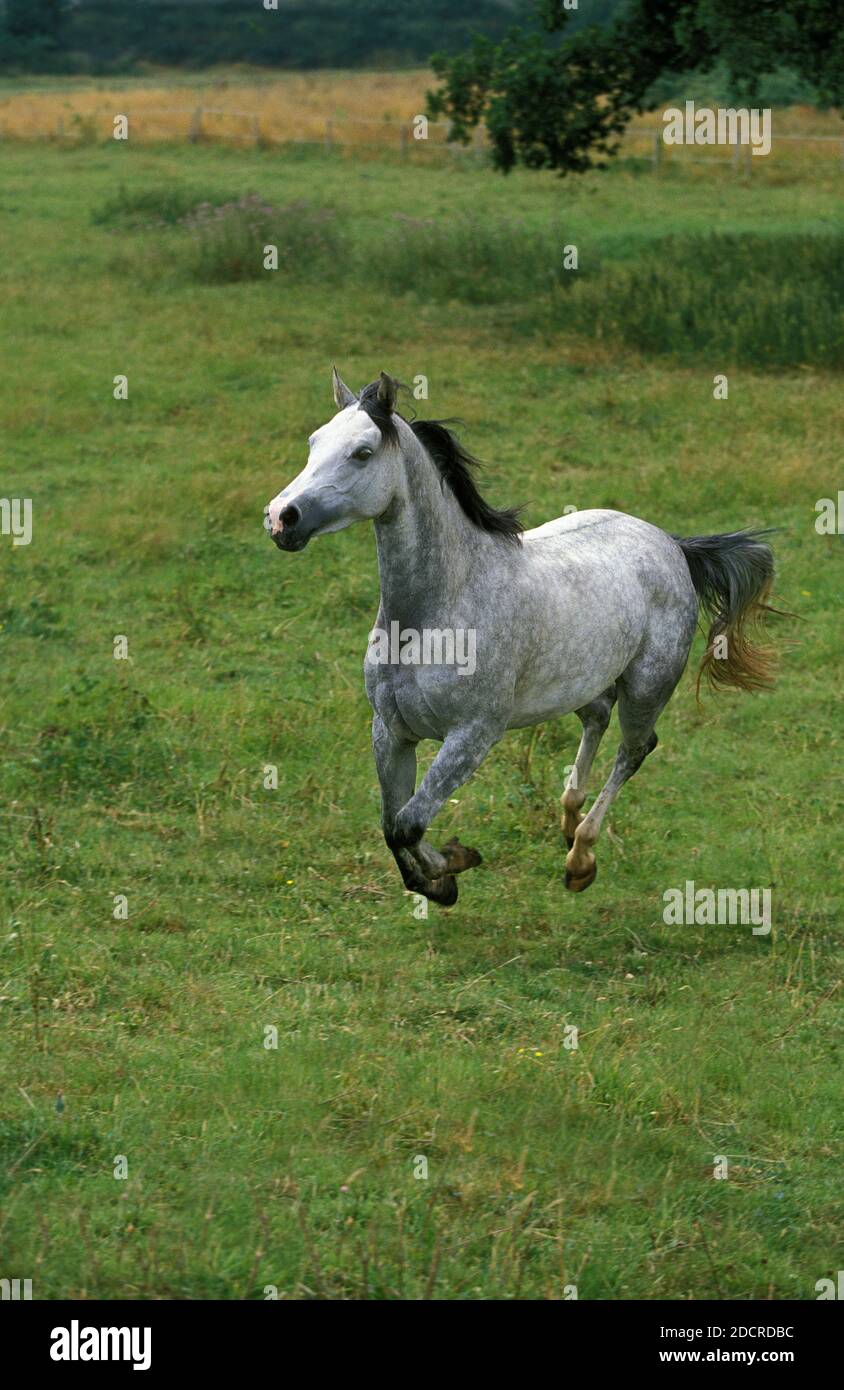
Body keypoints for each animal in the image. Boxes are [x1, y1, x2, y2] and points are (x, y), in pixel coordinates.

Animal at [264, 368, 778, 906]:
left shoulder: (472, 735)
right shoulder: (390, 730)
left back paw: (581, 859)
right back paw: (568, 821)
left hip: (647, 687)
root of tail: (673, 545)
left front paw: (455, 864)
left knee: (634, 749)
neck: (433, 613)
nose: (281, 517)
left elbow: (409, 822)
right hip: (582, 681)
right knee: (597, 719)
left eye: (362, 452)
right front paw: (439, 881)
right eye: (314, 442)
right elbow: (392, 825)